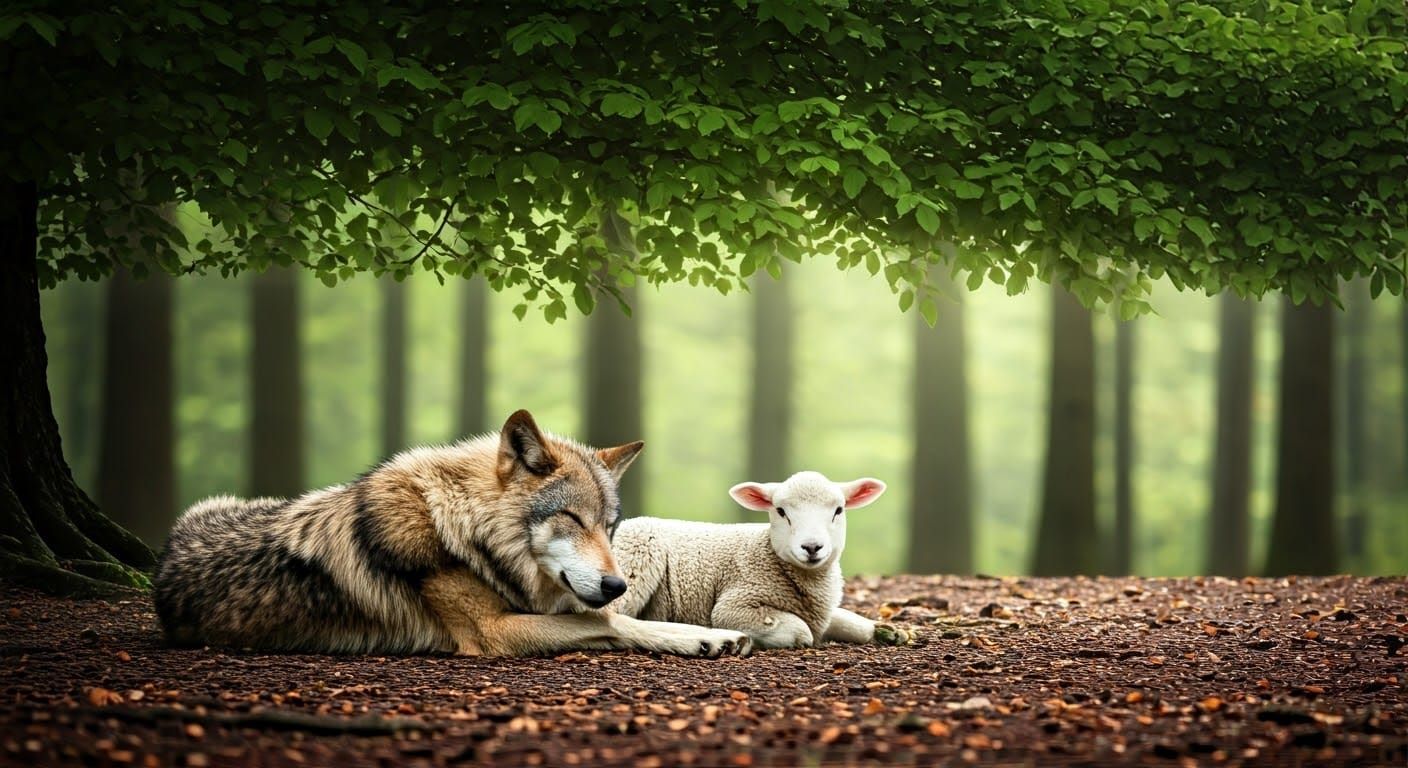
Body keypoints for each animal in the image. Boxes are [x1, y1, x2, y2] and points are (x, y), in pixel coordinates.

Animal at [153, 410, 751, 657]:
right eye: (573, 519)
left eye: (610, 527)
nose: (616, 584)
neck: (460, 530)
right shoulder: (495, 634)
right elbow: (606, 621)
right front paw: (703, 638)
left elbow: (609, 616)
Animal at [610, 471, 917, 650]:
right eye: (781, 511)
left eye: (839, 510)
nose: (812, 547)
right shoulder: (736, 604)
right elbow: (802, 632)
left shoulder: (820, 611)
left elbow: (847, 621)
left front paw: (888, 631)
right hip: (635, 556)